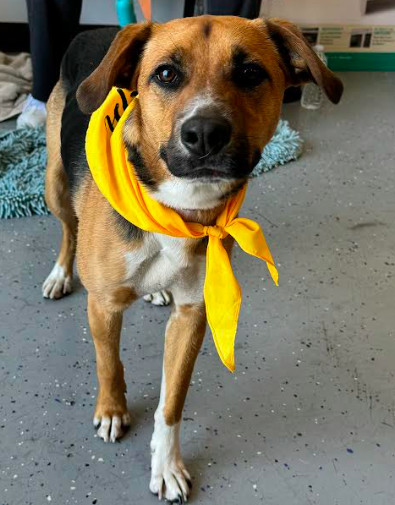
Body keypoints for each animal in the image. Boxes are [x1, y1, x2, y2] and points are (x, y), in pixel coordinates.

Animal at [41, 14, 342, 500]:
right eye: (166, 74)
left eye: (250, 73)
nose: (204, 134)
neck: (180, 211)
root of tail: (95, 29)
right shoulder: (103, 305)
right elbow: (109, 363)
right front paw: (112, 410)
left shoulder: (192, 316)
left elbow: (172, 403)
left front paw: (166, 465)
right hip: (55, 183)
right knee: (68, 228)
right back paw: (60, 273)